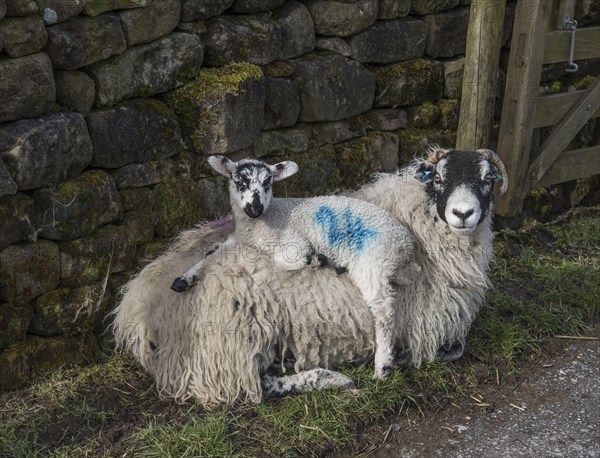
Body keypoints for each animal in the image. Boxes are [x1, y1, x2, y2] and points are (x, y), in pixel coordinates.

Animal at [169, 156, 412, 382]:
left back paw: (382, 366)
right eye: (239, 181)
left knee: (383, 310)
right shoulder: (237, 240)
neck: (261, 224)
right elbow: (210, 253)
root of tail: (405, 244)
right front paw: (183, 279)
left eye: (268, 182)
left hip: (372, 260)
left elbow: (284, 260)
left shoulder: (294, 245)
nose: (255, 208)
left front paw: (315, 259)